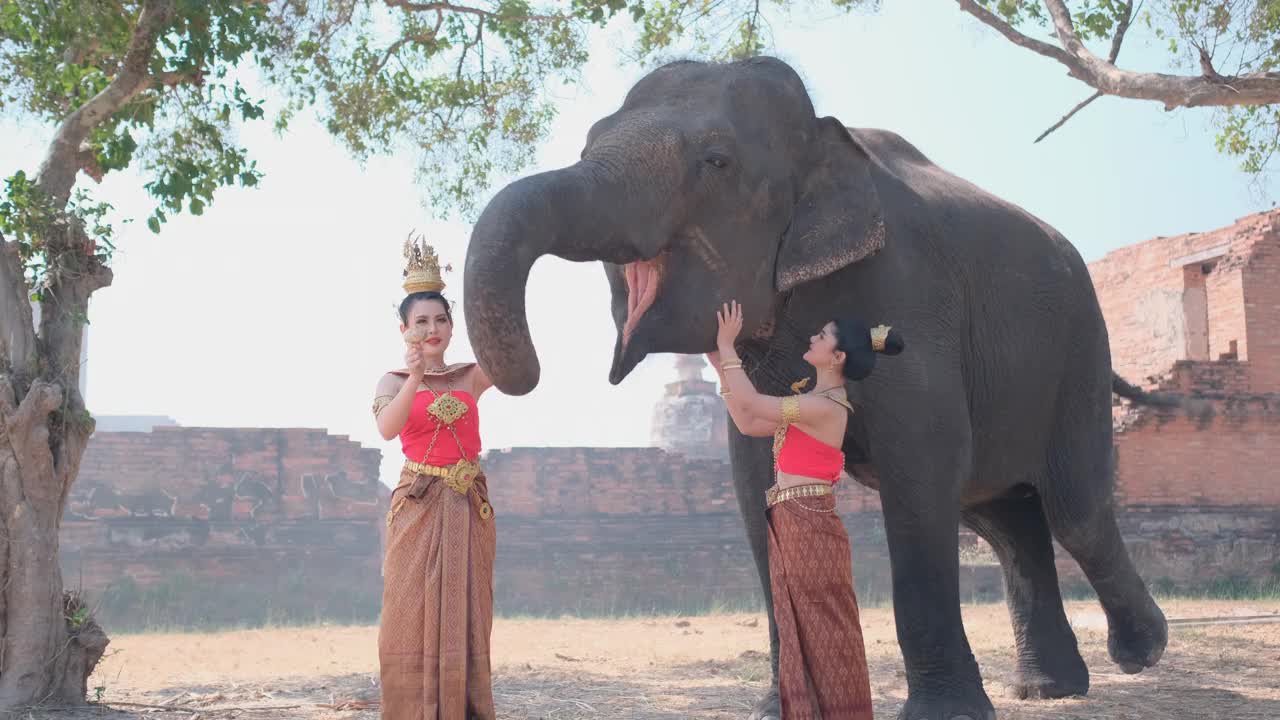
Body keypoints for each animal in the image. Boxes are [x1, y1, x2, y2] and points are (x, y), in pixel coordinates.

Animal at [463, 56, 1172, 717]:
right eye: (588, 142)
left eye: (716, 161)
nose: (530, 372)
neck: (823, 139)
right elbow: (753, 475)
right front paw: (779, 709)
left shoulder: (914, 298)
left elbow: (923, 464)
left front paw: (946, 715)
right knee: (1002, 516)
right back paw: (1048, 688)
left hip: (1080, 352)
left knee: (1072, 509)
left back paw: (1142, 652)